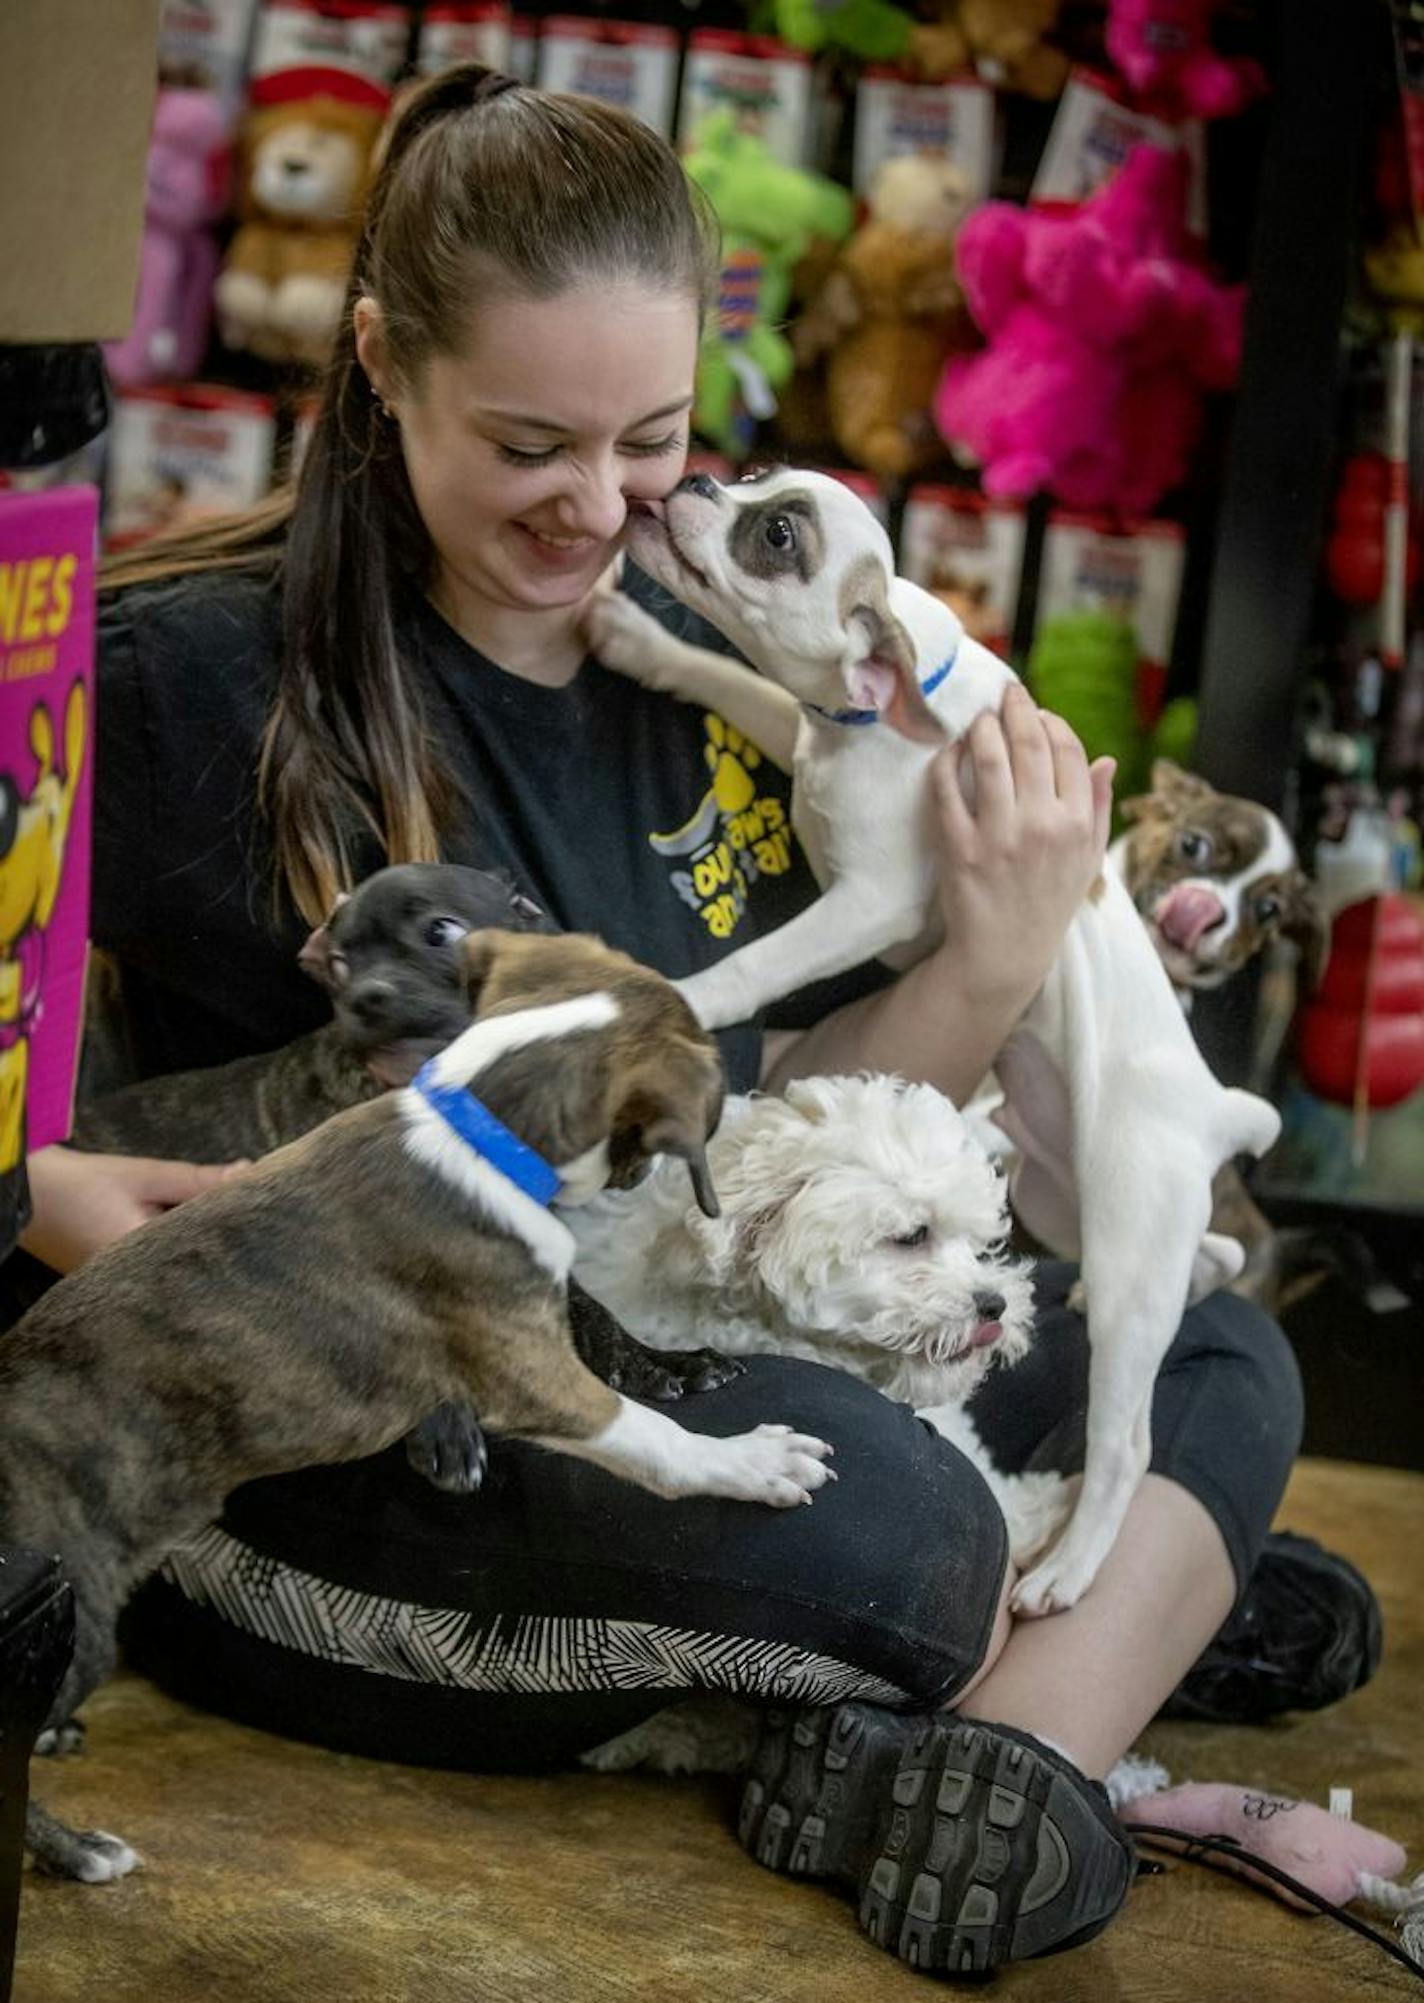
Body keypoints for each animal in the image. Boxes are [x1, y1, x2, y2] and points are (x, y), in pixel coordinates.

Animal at [588, 464, 1281, 1610]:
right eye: (752, 480)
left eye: (777, 537)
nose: (693, 475)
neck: (866, 719)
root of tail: (1216, 1105)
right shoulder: (792, 728)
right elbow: (730, 679)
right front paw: (641, 642)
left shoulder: (872, 903)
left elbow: (757, 963)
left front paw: (685, 991)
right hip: (1070, 1198)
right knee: (1212, 1251)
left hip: (1128, 1241)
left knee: (1127, 1443)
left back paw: (1068, 1570)